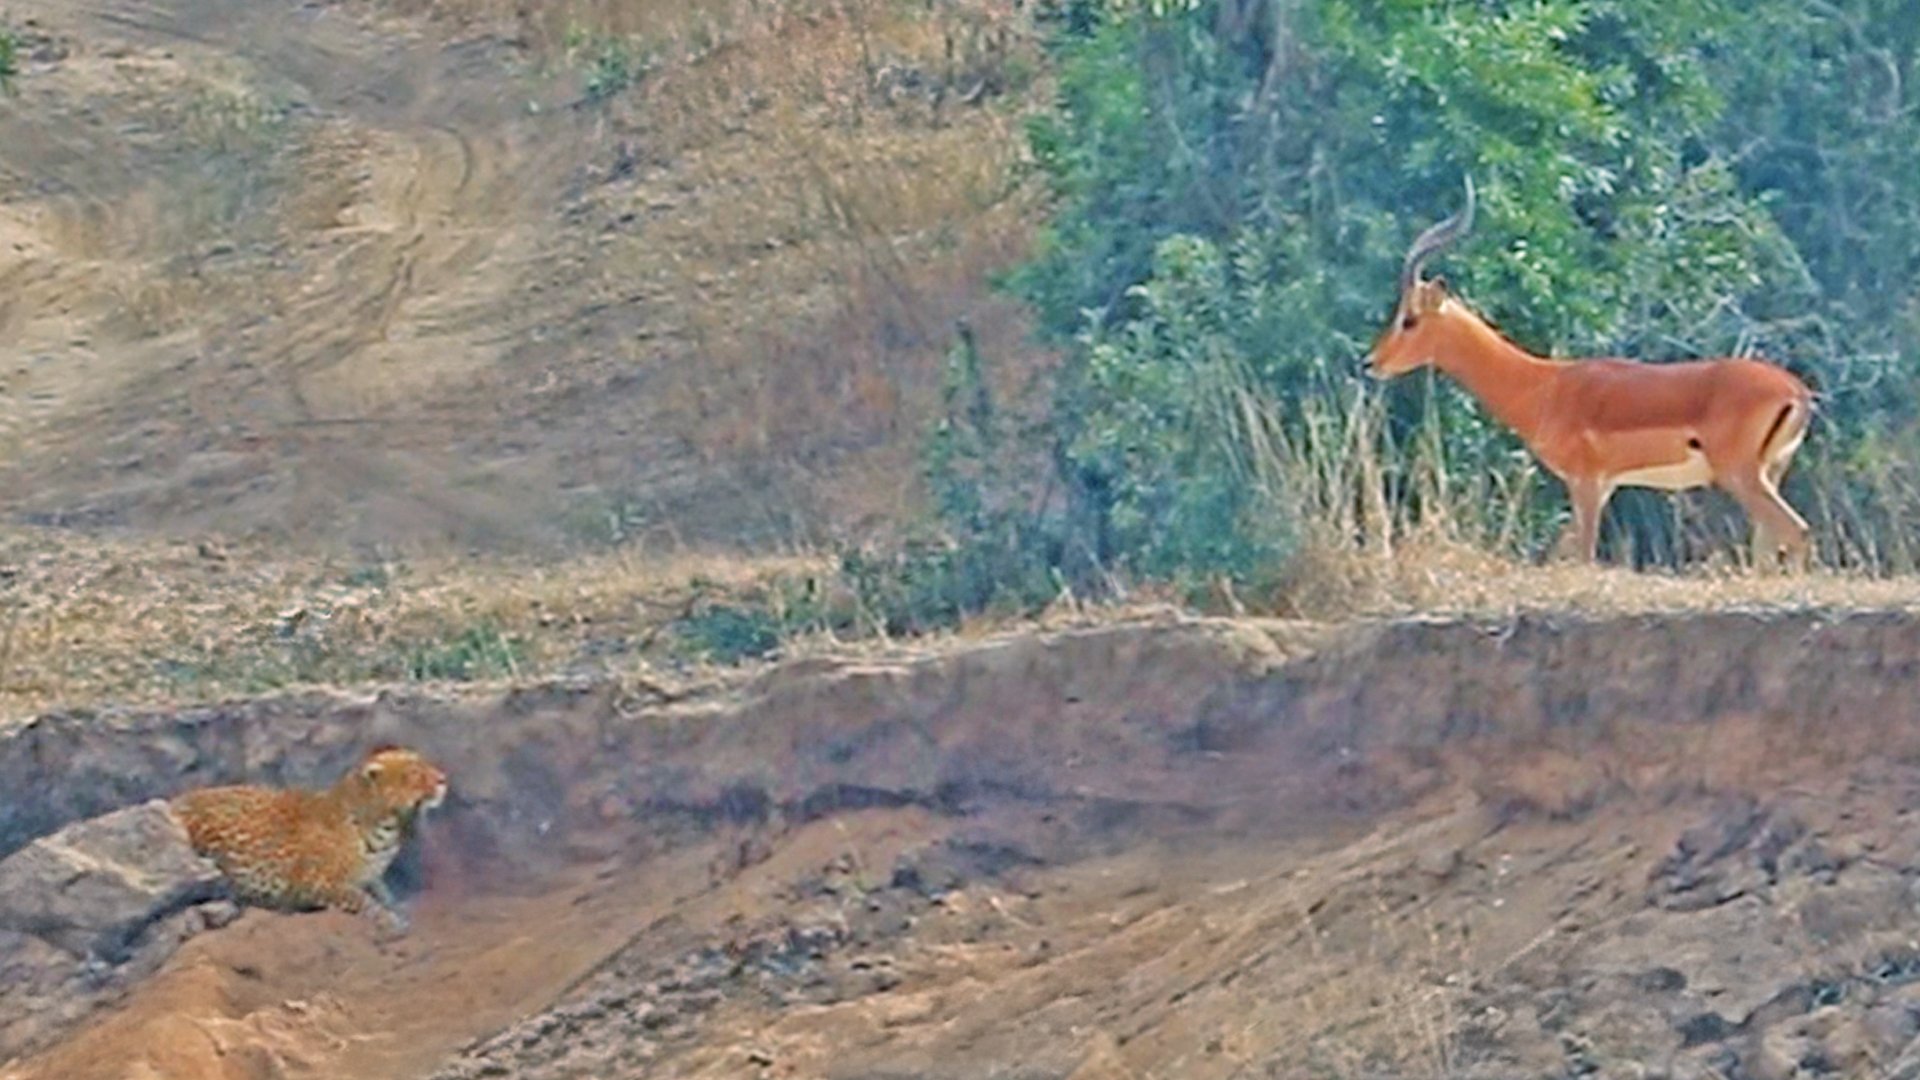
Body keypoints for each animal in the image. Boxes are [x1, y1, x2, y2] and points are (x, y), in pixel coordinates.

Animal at [169, 744, 449, 933]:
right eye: (414, 773)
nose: (443, 780)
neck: (385, 827)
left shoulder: (372, 875)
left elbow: (382, 891)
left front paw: (398, 906)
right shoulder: (319, 882)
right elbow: (362, 899)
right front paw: (390, 921)